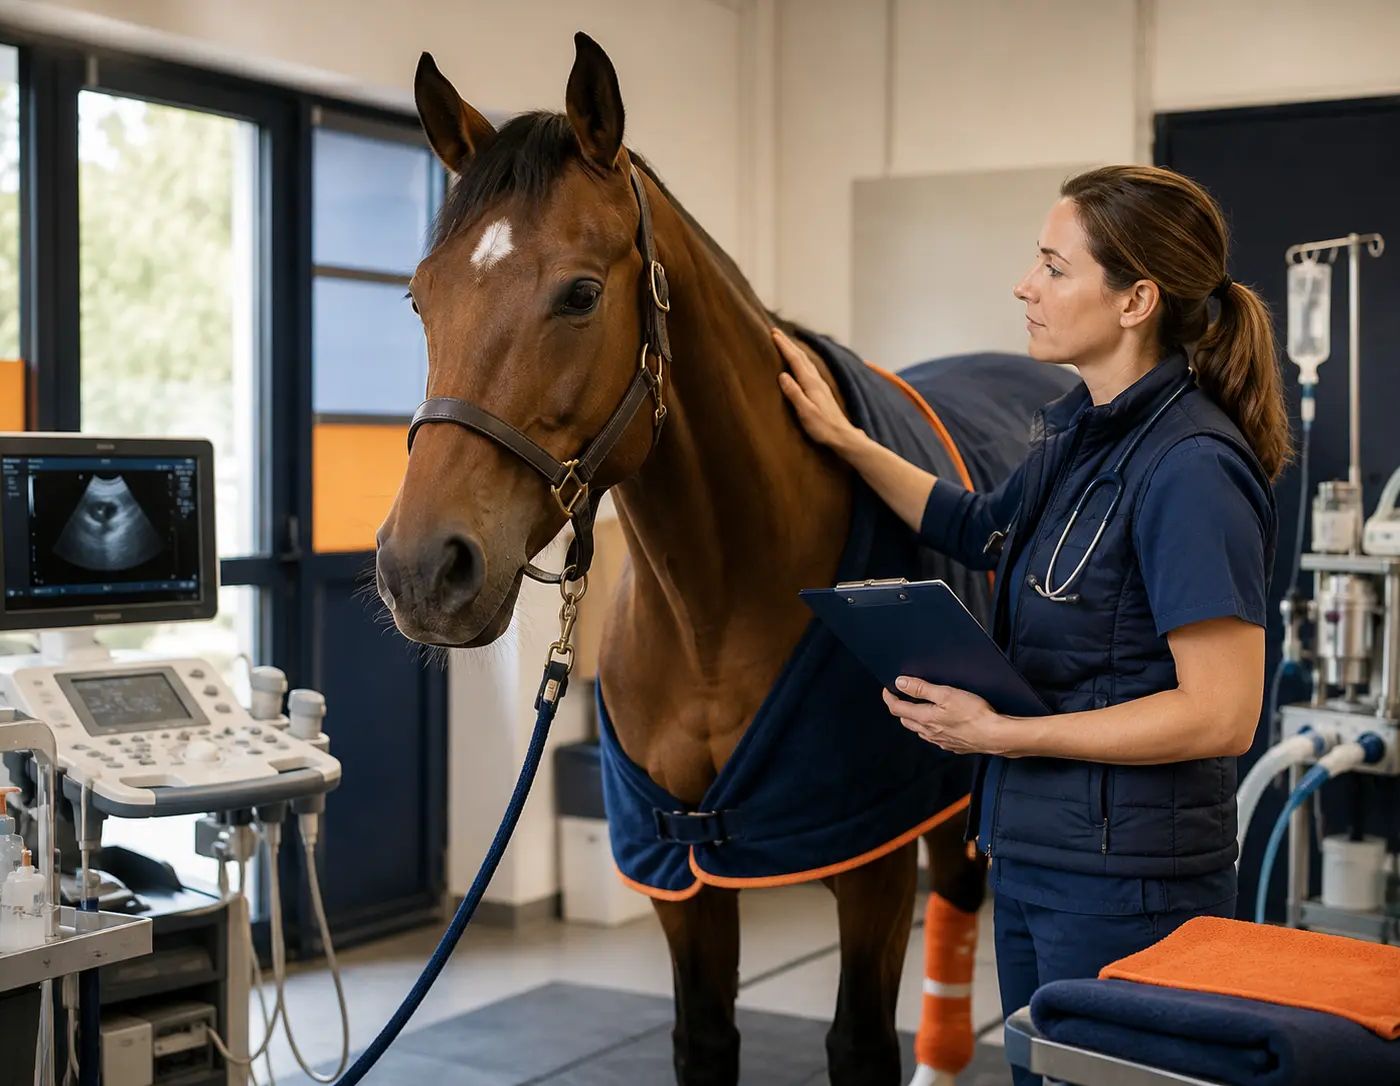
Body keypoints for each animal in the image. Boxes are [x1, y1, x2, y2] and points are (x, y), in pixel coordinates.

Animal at [376, 33, 1071, 1086]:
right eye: (421, 297)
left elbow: (859, 1042)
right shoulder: (681, 874)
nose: (423, 570)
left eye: (581, 294)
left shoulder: (870, 861)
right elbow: (703, 1037)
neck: (716, 601)